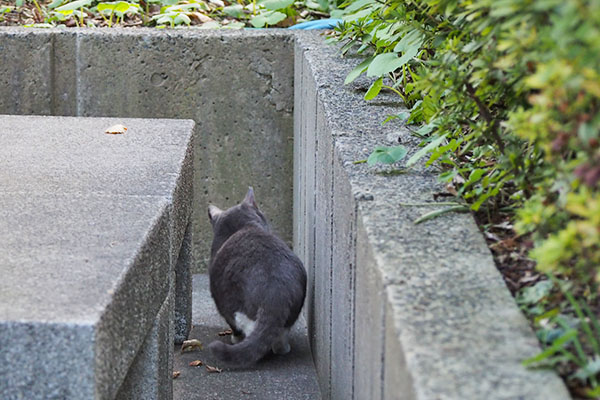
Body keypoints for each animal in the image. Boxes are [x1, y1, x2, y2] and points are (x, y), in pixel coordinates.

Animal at [209, 186, 308, 368]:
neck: (244, 227)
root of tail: (275, 294)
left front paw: (234, 338)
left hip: (236, 306)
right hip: (294, 308)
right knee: (279, 335)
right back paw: (283, 348)